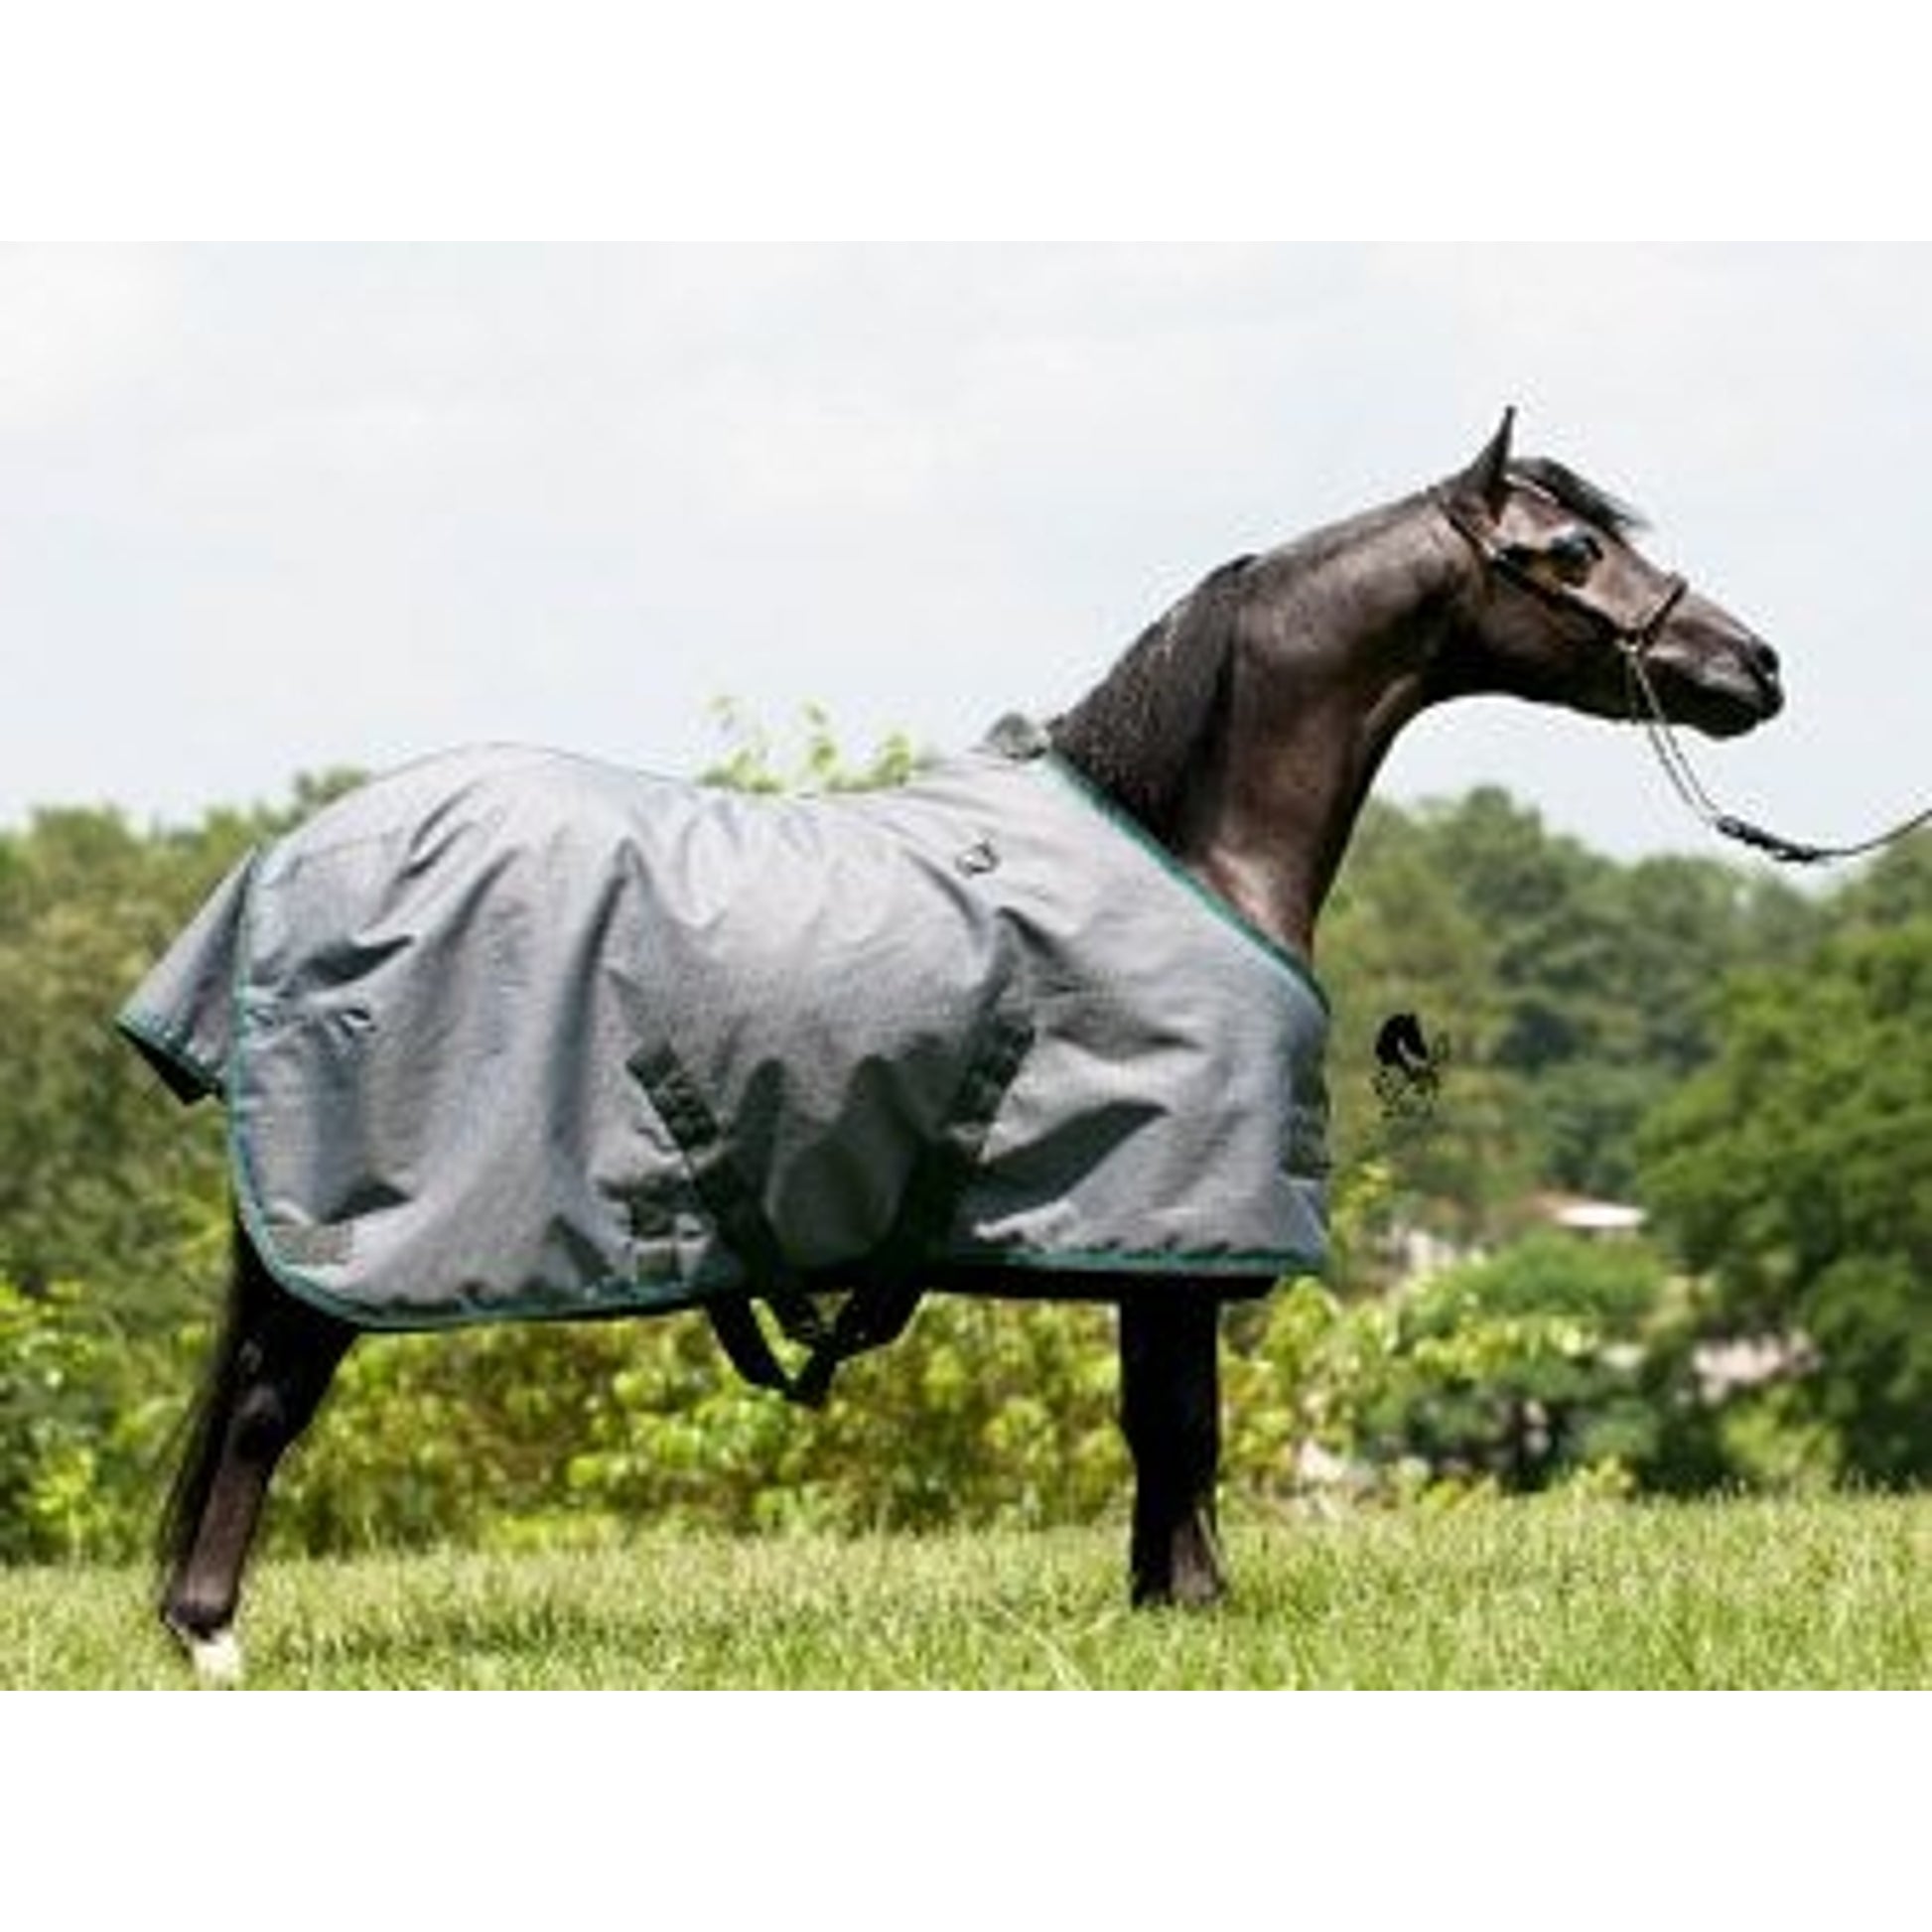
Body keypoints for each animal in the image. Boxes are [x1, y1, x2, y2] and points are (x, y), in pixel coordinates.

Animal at [122, 410, 1783, 1679]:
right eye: (1569, 554)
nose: (1753, 665)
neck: (1189, 841)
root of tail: (280, 865)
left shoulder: (1142, 1236)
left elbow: (1152, 1433)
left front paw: (1156, 1605)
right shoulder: (1173, 1228)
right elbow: (1179, 1426)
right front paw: (1199, 1606)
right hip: (345, 1244)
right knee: (265, 1405)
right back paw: (211, 1635)